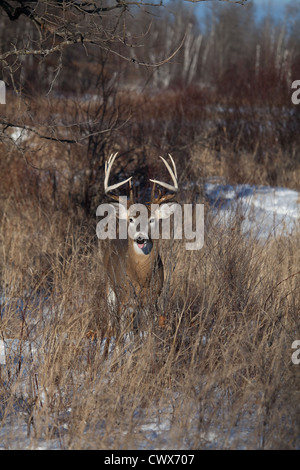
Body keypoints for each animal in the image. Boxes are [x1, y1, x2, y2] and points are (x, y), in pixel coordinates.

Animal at [103, 153, 178, 342]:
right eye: (131, 219)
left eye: (151, 219)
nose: (140, 238)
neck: (140, 277)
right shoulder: (124, 298)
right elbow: (122, 332)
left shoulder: (152, 299)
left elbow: (148, 331)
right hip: (109, 284)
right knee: (110, 319)